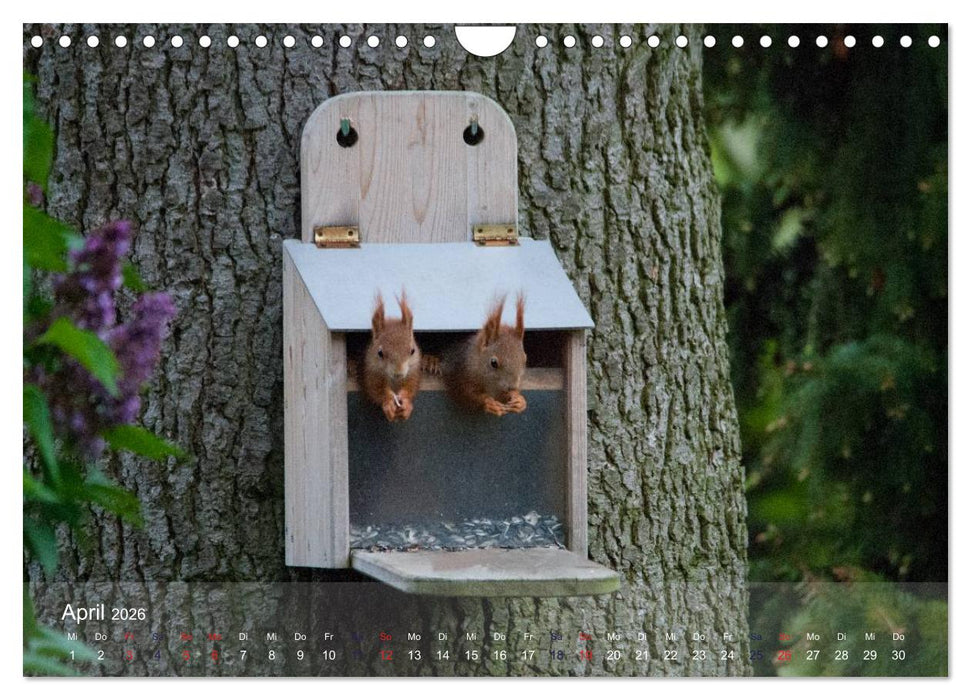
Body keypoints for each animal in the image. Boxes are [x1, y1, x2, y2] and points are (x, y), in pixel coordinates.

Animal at [362, 292, 421, 422]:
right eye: (380, 353)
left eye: (412, 351)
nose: (398, 373)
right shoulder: (371, 373)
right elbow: (376, 390)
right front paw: (389, 402)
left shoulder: (412, 371)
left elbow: (411, 386)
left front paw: (406, 403)